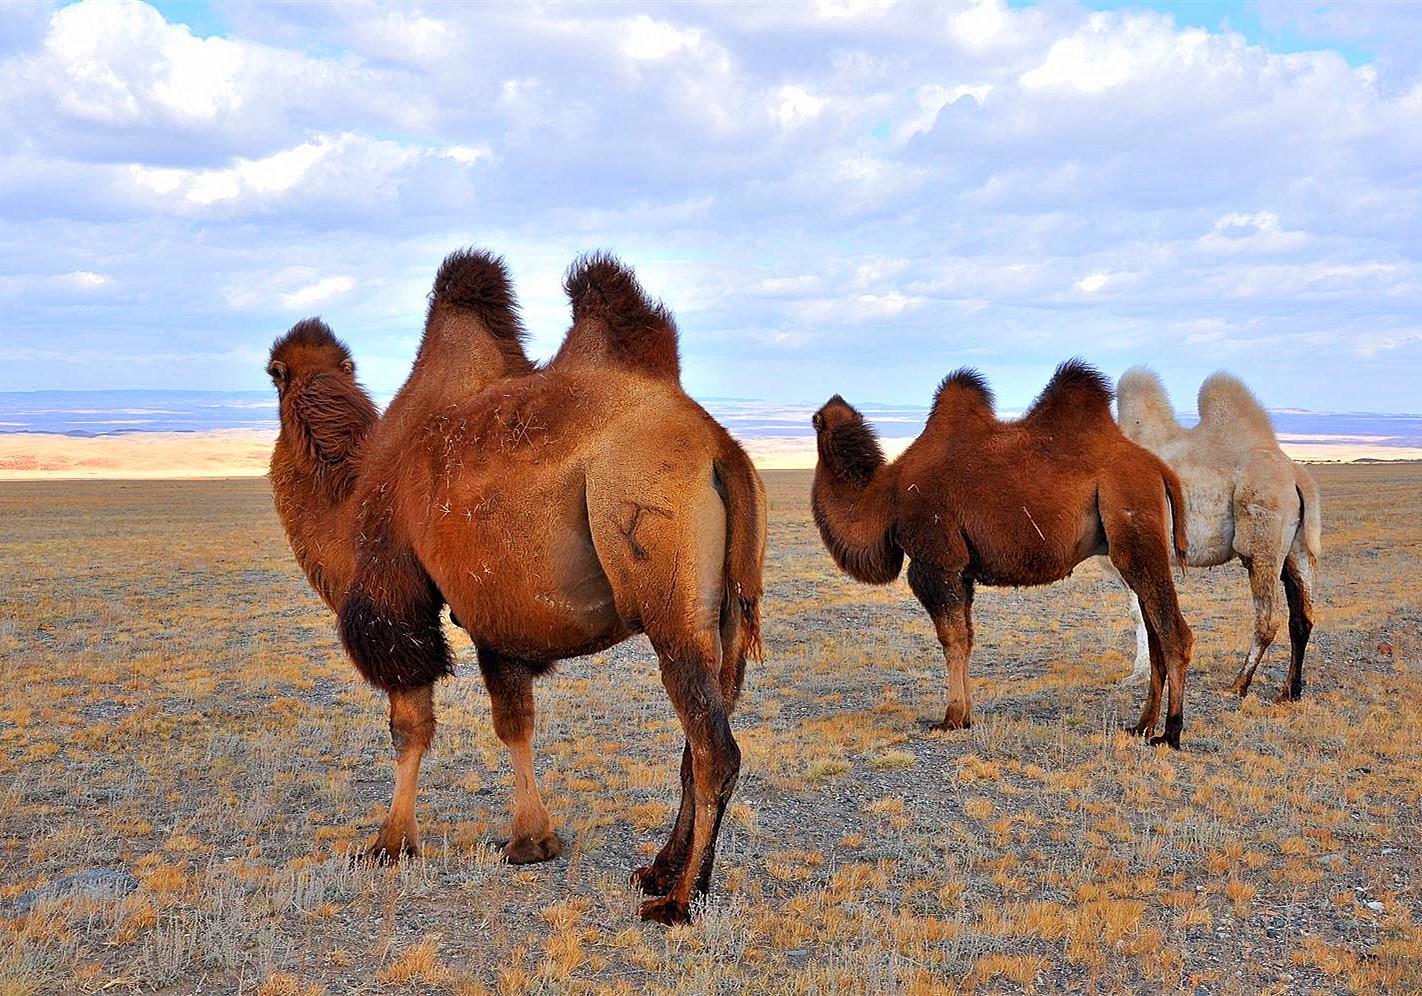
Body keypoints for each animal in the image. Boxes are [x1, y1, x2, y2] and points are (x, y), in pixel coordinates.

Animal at [271, 250, 773, 927]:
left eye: (274, 373)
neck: (348, 500)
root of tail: (723, 449)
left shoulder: (396, 595)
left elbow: (411, 725)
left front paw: (390, 844)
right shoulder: (494, 614)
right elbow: (515, 722)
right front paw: (532, 840)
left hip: (664, 579)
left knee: (715, 748)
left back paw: (679, 900)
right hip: (726, 616)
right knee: (698, 741)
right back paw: (658, 869)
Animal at [807, 359, 1194, 745]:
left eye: (816, 419)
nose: (818, 412)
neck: (886, 499)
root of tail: (1160, 468)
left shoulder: (934, 562)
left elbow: (951, 638)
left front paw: (950, 718)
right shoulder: (962, 571)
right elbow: (966, 638)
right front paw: (966, 717)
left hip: (1133, 524)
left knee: (1174, 633)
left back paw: (1170, 731)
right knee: (1156, 636)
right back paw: (1141, 726)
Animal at [1097, 369, 1319, 702]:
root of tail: (1295, 474)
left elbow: (1140, 614)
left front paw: (1138, 675)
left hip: (1261, 535)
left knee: (1268, 617)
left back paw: (1238, 685)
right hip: (1296, 546)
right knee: (1302, 615)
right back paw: (1290, 691)